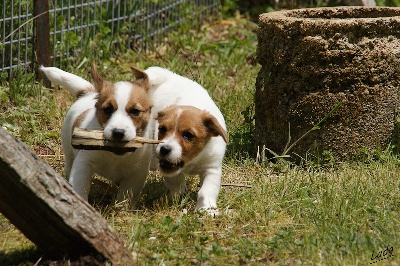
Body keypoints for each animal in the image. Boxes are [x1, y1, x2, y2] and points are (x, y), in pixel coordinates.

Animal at [40, 65, 153, 208]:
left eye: (135, 111)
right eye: (108, 109)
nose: (118, 132)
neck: (114, 156)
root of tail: (89, 93)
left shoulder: (137, 173)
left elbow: (127, 194)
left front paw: (122, 208)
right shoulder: (83, 163)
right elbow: (80, 186)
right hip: (68, 149)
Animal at [145, 67, 228, 215]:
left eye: (188, 135)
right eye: (162, 129)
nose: (164, 149)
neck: (191, 161)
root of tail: (170, 76)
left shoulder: (212, 168)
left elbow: (207, 190)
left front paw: (206, 208)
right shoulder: (170, 171)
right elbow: (176, 183)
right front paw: (178, 198)